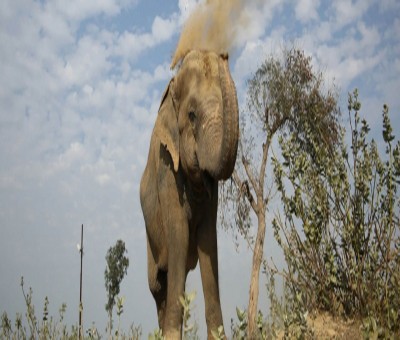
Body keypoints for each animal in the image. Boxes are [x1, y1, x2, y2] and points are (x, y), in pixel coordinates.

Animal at [139, 49, 239, 338]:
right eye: (192, 115)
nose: (225, 54)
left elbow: (207, 238)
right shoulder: (166, 170)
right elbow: (180, 234)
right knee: (158, 284)